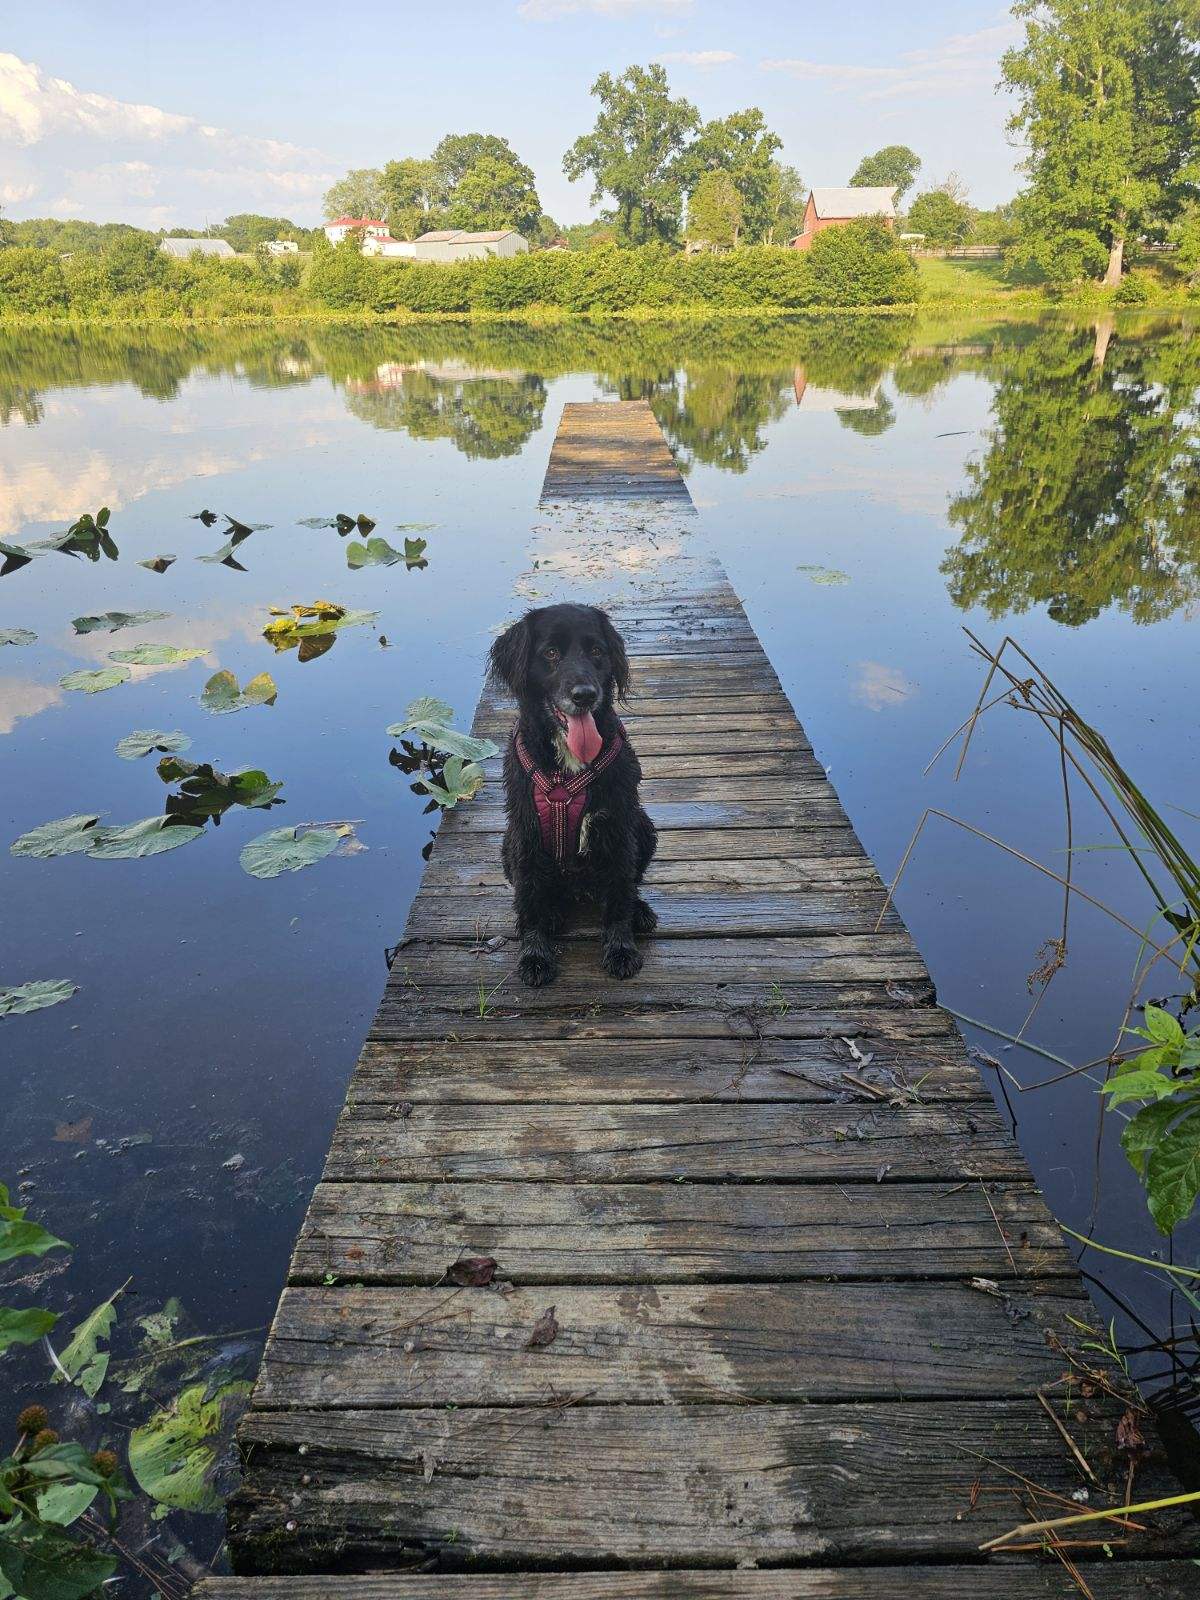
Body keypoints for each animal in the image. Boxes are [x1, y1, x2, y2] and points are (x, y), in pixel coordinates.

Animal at [489, 601, 659, 985]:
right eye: (550, 653)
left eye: (597, 651)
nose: (584, 694)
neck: (568, 764)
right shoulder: (527, 833)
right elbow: (530, 898)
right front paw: (535, 956)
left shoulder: (617, 825)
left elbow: (619, 894)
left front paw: (620, 949)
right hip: (507, 844)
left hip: (644, 826)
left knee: (629, 884)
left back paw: (639, 910)